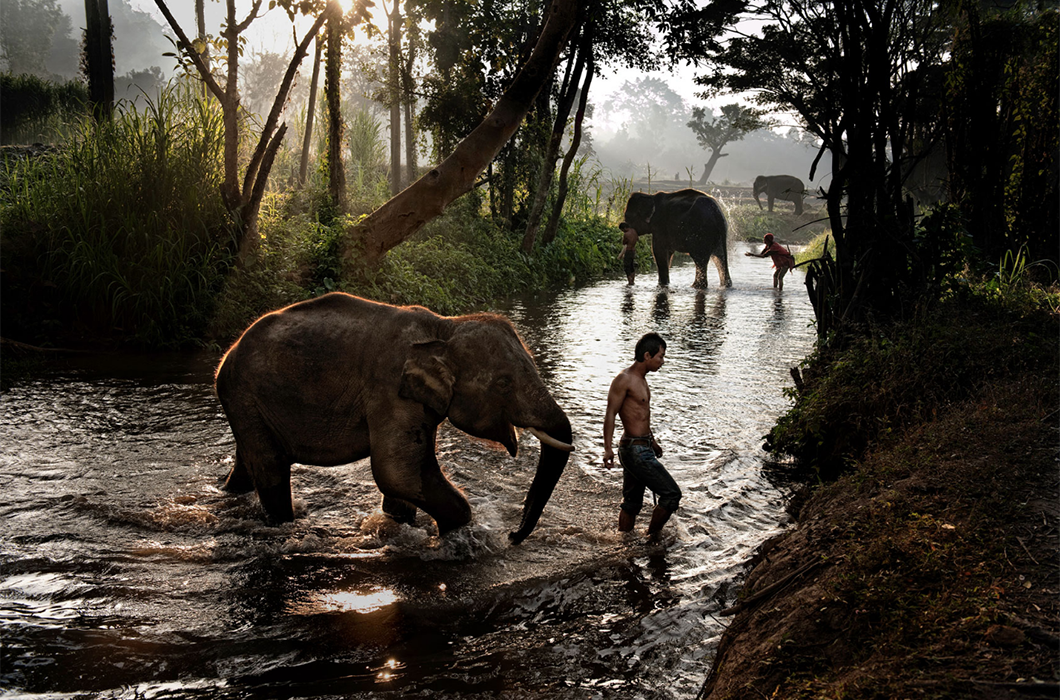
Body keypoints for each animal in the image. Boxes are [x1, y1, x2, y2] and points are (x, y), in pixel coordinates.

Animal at [215, 292, 576, 543]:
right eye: (503, 382)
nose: (513, 536)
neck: (444, 326)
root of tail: (228, 353)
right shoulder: (388, 386)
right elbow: (397, 470)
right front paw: (457, 531)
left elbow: (405, 472)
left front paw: (400, 523)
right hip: (243, 395)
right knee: (271, 465)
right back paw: (282, 523)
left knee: (250, 460)